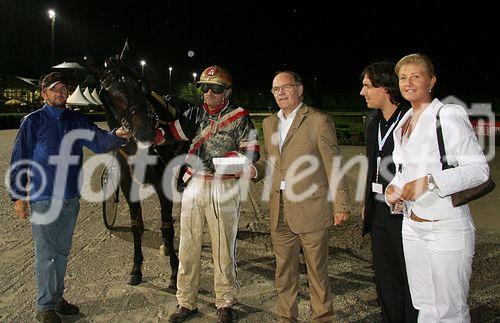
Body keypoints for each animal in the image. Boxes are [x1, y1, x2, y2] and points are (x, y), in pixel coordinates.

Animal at [91, 46, 195, 288]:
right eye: (107, 93)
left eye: (140, 83)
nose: (145, 132)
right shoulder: (127, 182)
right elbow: (136, 225)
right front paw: (136, 269)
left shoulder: (161, 180)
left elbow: (166, 226)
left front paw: (174, 272)